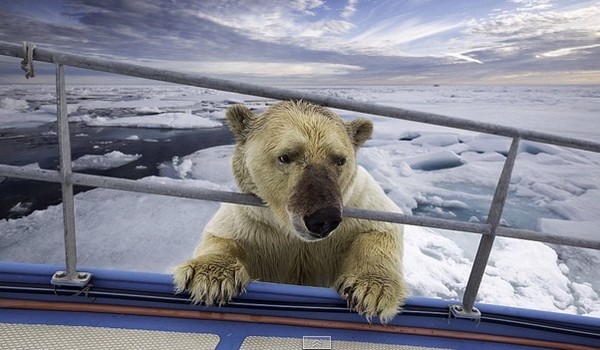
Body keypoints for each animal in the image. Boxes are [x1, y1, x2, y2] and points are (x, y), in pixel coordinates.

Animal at [173, 100, 408, 322]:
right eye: (285, 156)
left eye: (340, 159)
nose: (323, 218)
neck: (294, 235)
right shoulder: (251, 219)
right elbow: (221, 235)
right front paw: (209, 277)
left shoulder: (358, 202)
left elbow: (381, 229)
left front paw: (372, 290)